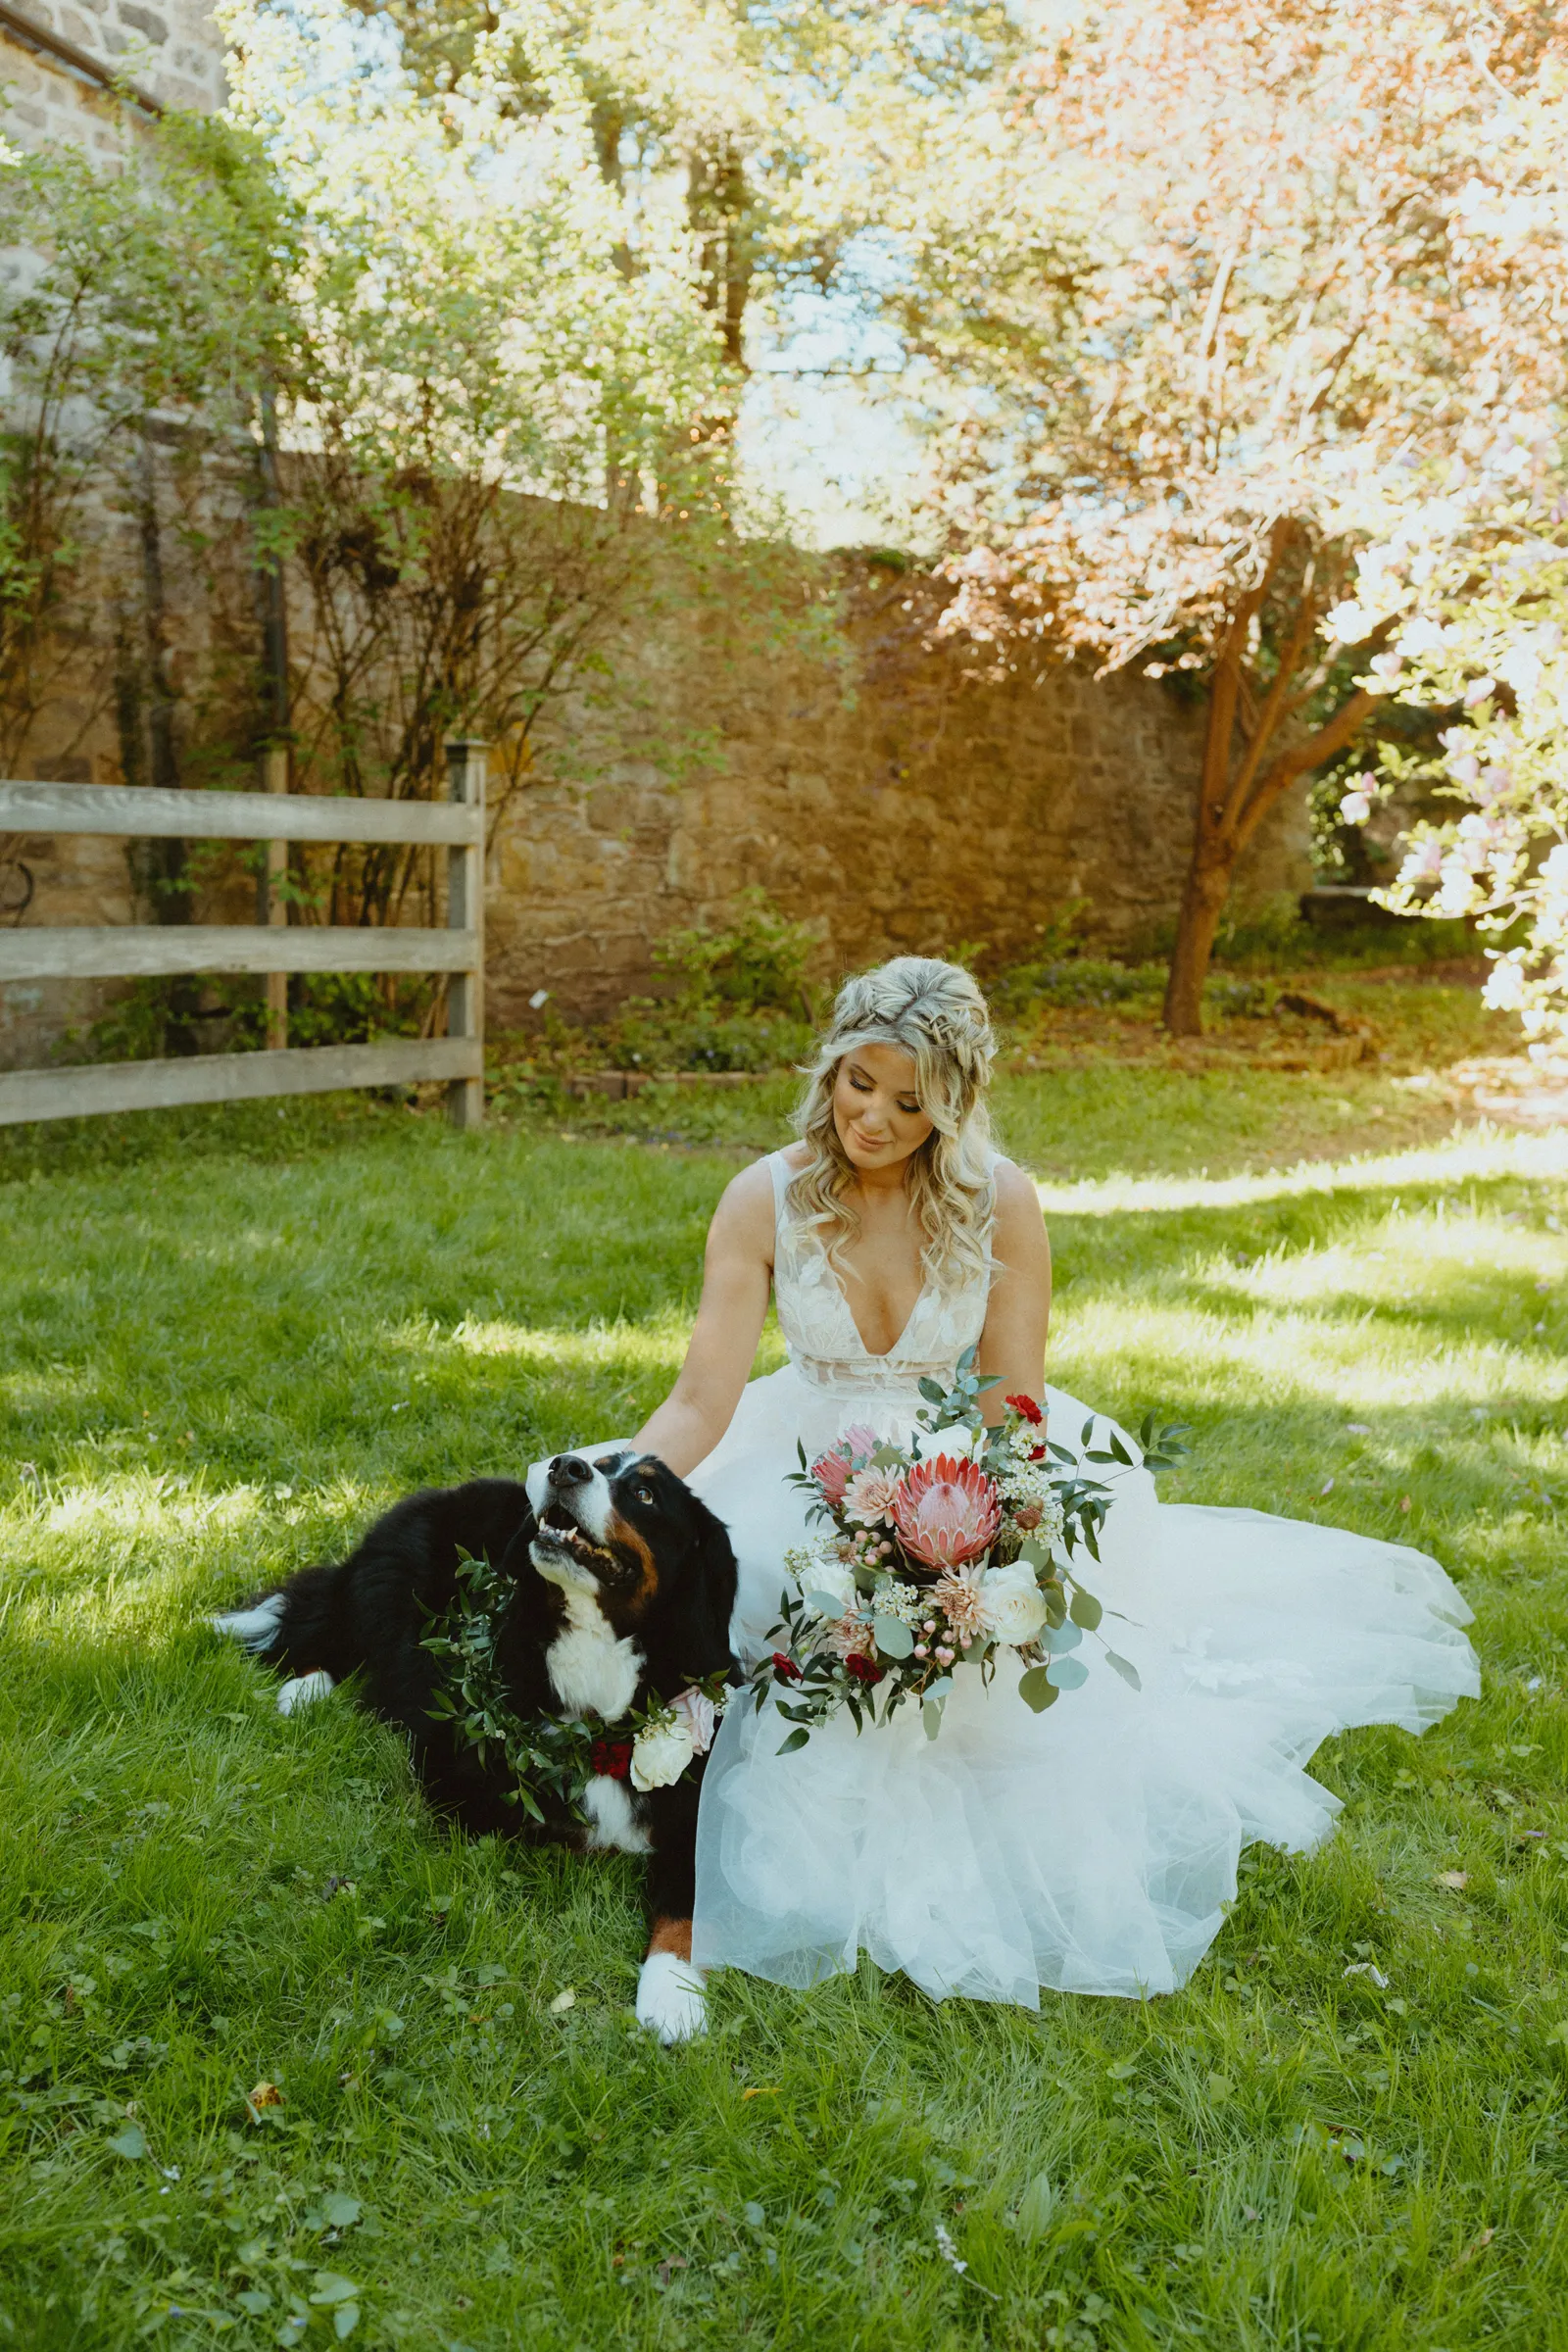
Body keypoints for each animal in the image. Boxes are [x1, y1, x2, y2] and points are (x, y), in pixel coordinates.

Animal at [210, 1448, 743, 2041]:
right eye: (600, 1463)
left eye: (646, 1494)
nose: (566, 1467)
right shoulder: (458, 1776)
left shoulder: (699, 1807)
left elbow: (687, 1902)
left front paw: (673, 1995)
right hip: (390, 1597)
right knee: (338, 1632)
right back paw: (304, 1690)